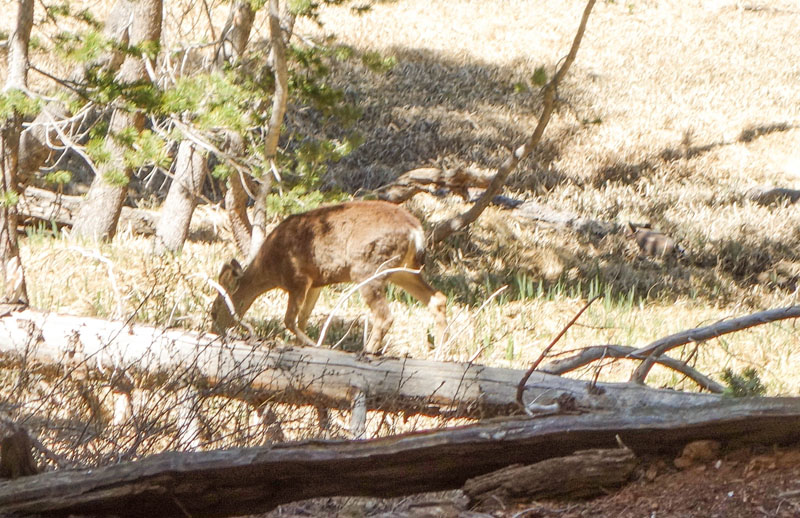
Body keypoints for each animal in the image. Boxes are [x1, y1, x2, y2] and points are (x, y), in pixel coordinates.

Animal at [210, 200, 447, 354]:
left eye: (213, 311)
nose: (214, 332)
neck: (269, 269)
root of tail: (416, 230)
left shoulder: (297, 278)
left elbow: (289, 320)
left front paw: (316, 345)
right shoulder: (316, 282)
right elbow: (303, 317)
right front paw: (305, 345)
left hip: (369, 267)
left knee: (385, 315)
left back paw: (368, 352)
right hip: (403, 269)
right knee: (438, 298)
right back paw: (437, 353)